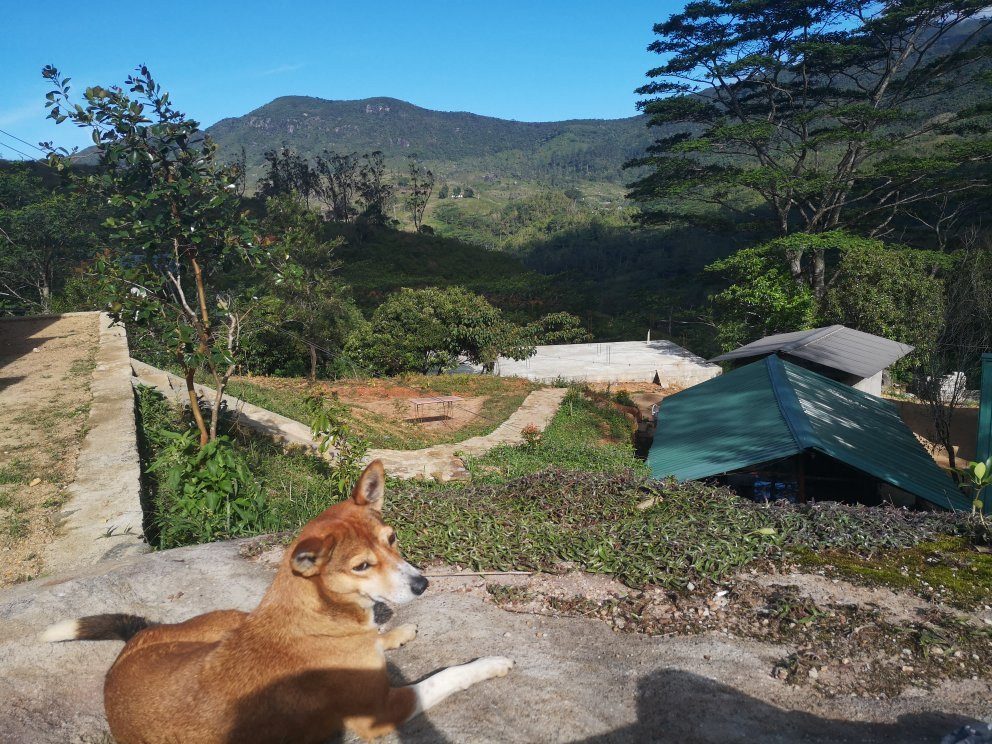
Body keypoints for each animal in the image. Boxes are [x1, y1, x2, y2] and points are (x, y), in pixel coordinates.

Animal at [43, 460, 516, 744]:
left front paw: (391, 633)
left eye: (392, 539)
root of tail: (131, 645)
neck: (320, 617)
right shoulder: (380, 712)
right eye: (362, 566)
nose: (423, 584)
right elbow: (446, 676)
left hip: (230, 620)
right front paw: (489, 664)